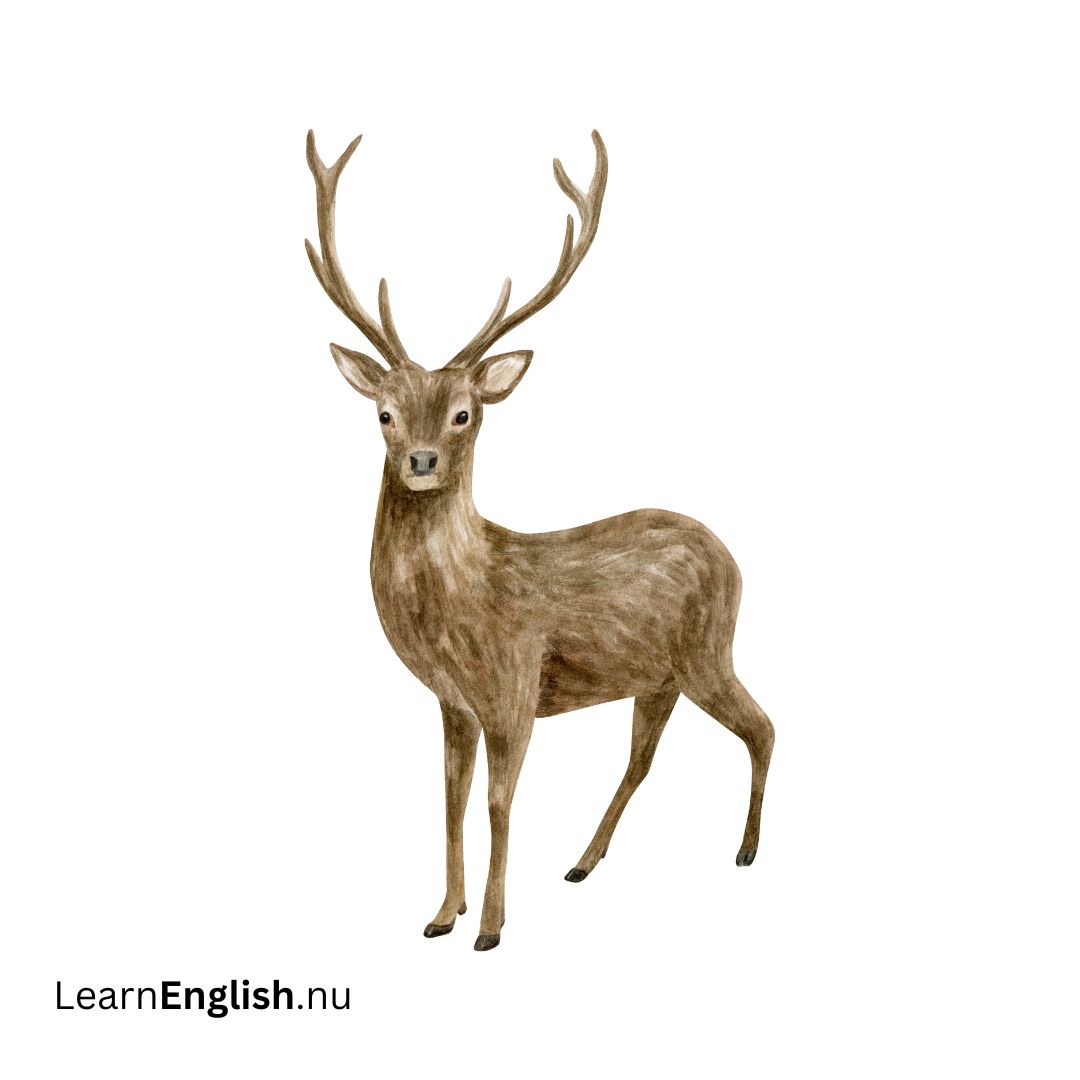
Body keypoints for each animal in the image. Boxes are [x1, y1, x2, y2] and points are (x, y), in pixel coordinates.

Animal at [305, 127, 775, 951]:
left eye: (465, 413)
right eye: (383, 413)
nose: (421, 461)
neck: (461, 610)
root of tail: (727, 549)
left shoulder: (514, 688)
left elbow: (498, 803)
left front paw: (490, 928)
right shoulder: (454, 703)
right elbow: (450, 799)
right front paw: (441, 915)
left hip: (708, 652)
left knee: (764, 726)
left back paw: (746, 849)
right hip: (658, 677)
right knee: (645, 758)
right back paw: (584, 862)